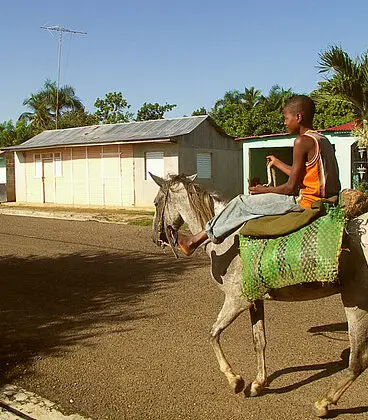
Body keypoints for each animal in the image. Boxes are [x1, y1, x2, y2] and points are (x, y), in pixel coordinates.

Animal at [150, 173, 368, 416]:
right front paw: (257, 384)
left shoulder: (236, 301)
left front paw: (235, 380)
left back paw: (324, 403)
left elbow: (213, 334)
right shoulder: (254, 300)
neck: (229, 241)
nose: (155, 238)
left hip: (356, 301)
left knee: (358, 360)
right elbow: (259, 341)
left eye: (156, 203)